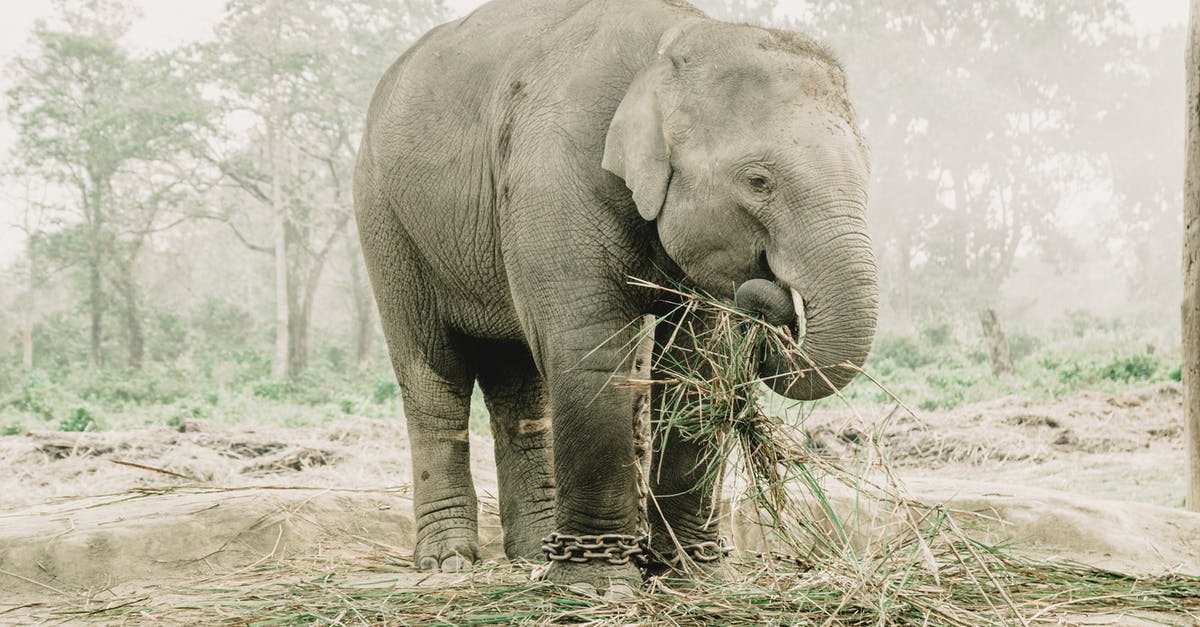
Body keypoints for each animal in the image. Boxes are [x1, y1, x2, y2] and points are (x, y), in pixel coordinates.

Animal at [350, 0, 878, 590]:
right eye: (758, 181)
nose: (770, 303)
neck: (671, 44)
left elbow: (697, 365)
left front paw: (694, 576)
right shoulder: (555, 173)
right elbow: (592, 352)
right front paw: (594, 585)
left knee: (520, 382)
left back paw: (534, 553)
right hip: (386, 221)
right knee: (432, 375)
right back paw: (449, 562)